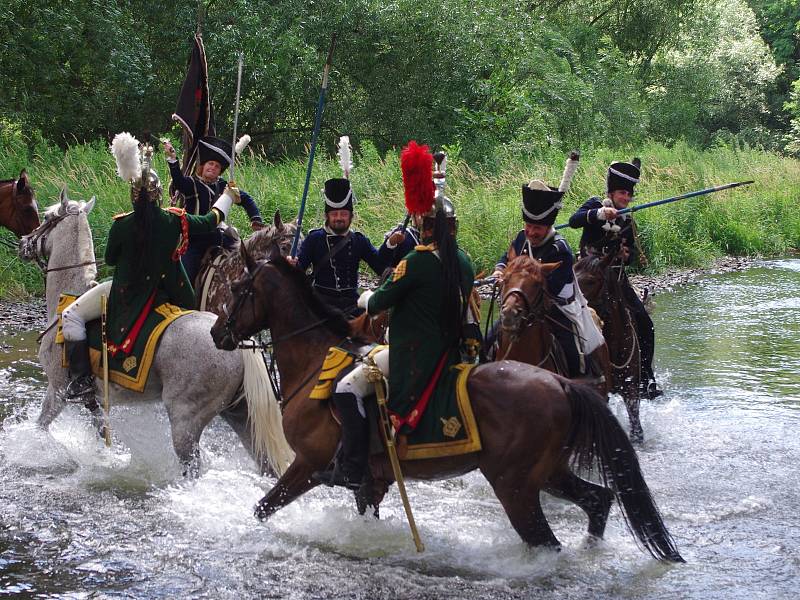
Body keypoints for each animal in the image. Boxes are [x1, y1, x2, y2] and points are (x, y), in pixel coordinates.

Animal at [18, 191, 294, 478]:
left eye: (46, 218)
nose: (24, 242)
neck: (69, 291)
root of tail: (238, 344)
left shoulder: (58, 389)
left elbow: (41, 425)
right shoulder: (96, 400)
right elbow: (101, 432)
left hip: (186, 421)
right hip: (241, 414)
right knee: (267, 464)